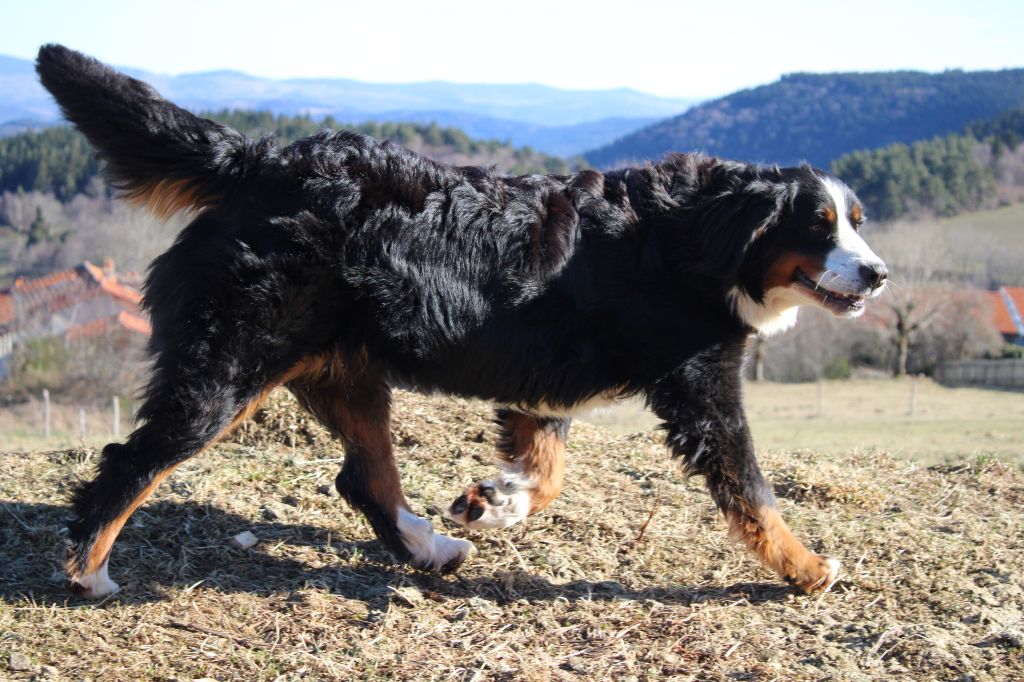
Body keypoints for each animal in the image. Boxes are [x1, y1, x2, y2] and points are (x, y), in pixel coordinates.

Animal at [37, 43, 888, 593]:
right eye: (818, 225)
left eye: (855, 220)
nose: (878, 274)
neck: (698, 237)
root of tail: (260, 159)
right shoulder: (702, 393)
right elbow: (754, 494)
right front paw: (808, 570)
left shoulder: (544, 379)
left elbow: (547, 471)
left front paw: (495, 501)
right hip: (228, 369)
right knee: (131, 462)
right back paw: (87, 573)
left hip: (347, 368)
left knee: (365, 477)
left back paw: (430, 549)